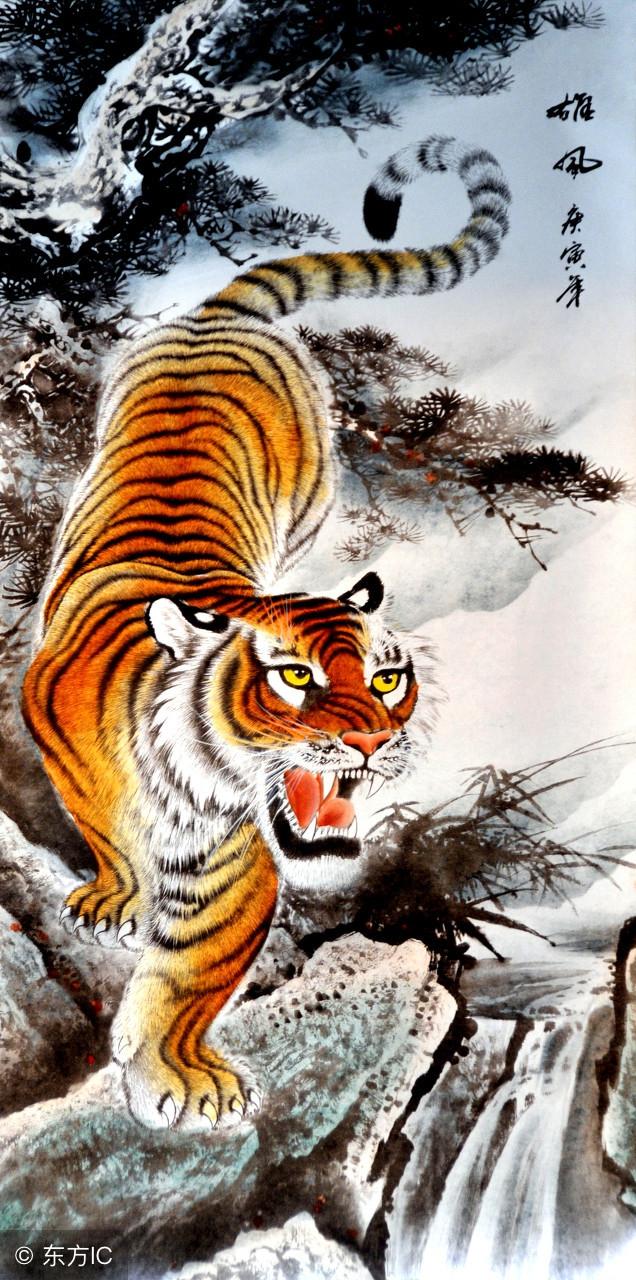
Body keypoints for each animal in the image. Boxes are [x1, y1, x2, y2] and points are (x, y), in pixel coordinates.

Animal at [22, 135, 510, 1131]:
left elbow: (193, 974)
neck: (195, 785)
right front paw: (117, 896)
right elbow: (106, 835)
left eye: (388, 678)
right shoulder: (50, 730)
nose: (376, 741)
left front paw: (179, 1074)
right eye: (294, 678)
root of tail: (215, 317)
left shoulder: (233, 866)